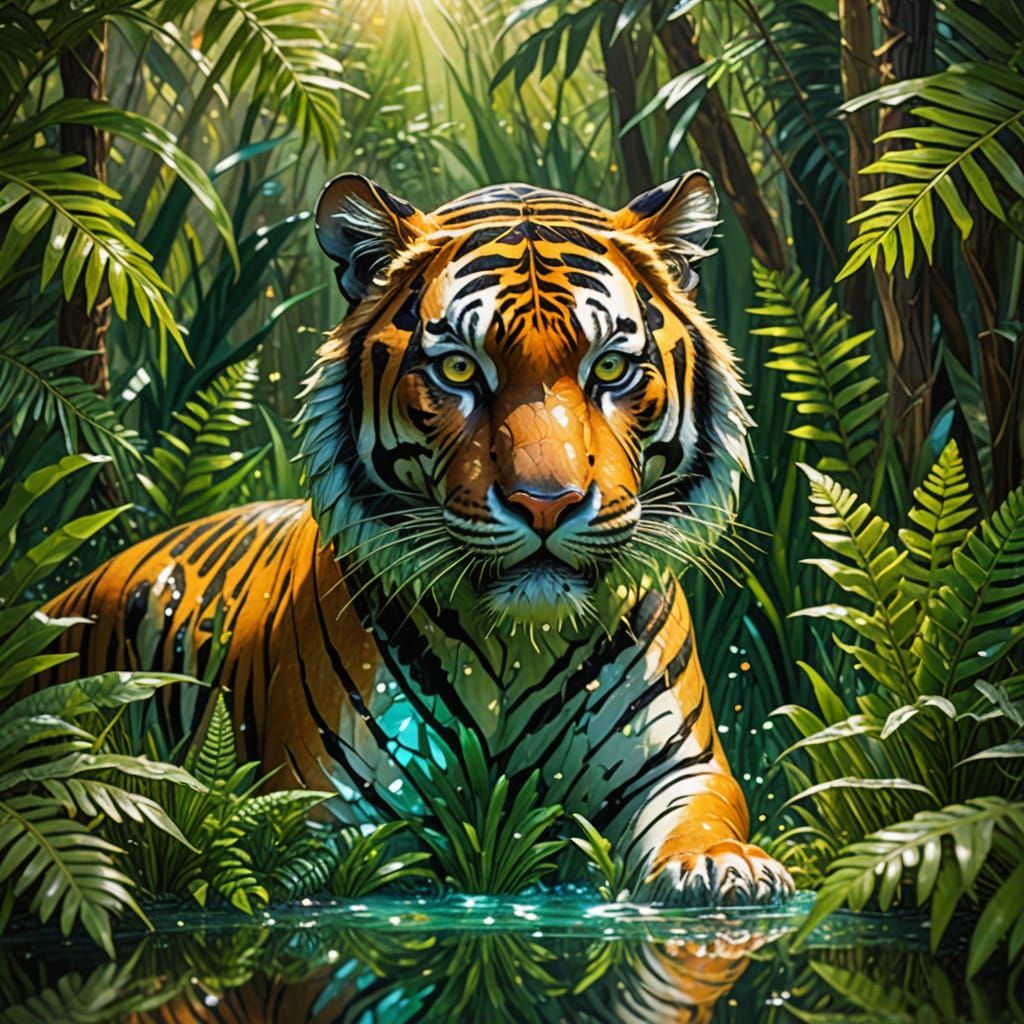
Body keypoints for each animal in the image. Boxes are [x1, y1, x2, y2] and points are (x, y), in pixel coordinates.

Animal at [42, 171, 794, 920]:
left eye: (609, 368)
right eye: (459, 370)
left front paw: (723, 869)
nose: (545, 504)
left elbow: (703, 821)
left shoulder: (683, 766)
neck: (521, 643)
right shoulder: (324, 805)